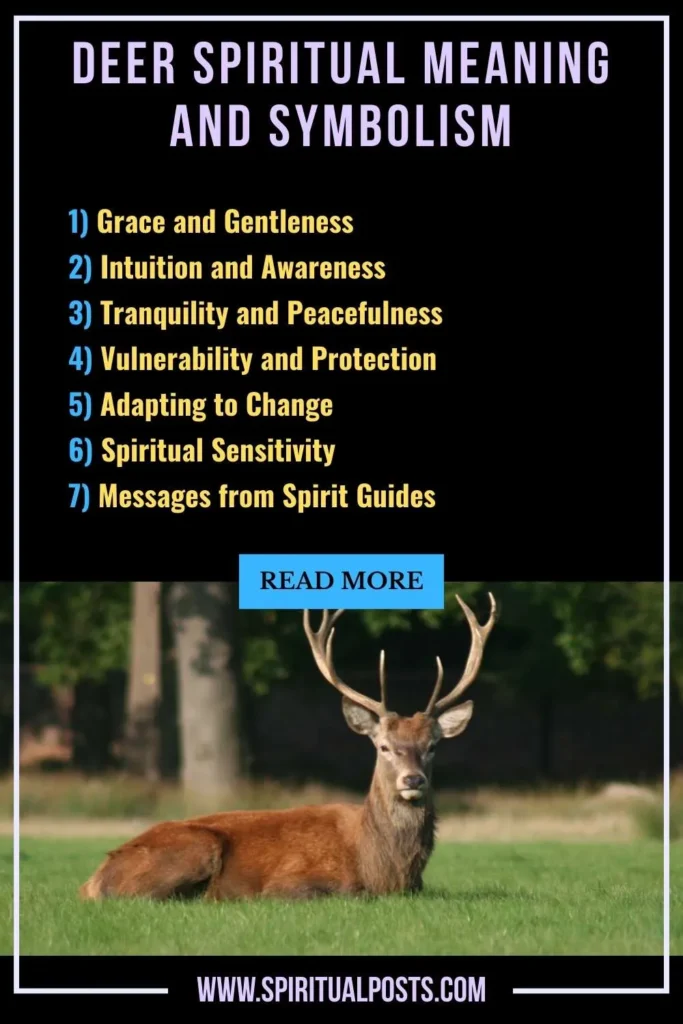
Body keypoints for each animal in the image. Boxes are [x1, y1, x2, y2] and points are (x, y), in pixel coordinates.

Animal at [79, 592, 496, 902]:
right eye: (383, 746)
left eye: (433, 745)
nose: (413, 780)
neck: (384, 869)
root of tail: (92, 880)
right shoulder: (291, 882)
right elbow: (344, 892)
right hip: (195, 846)